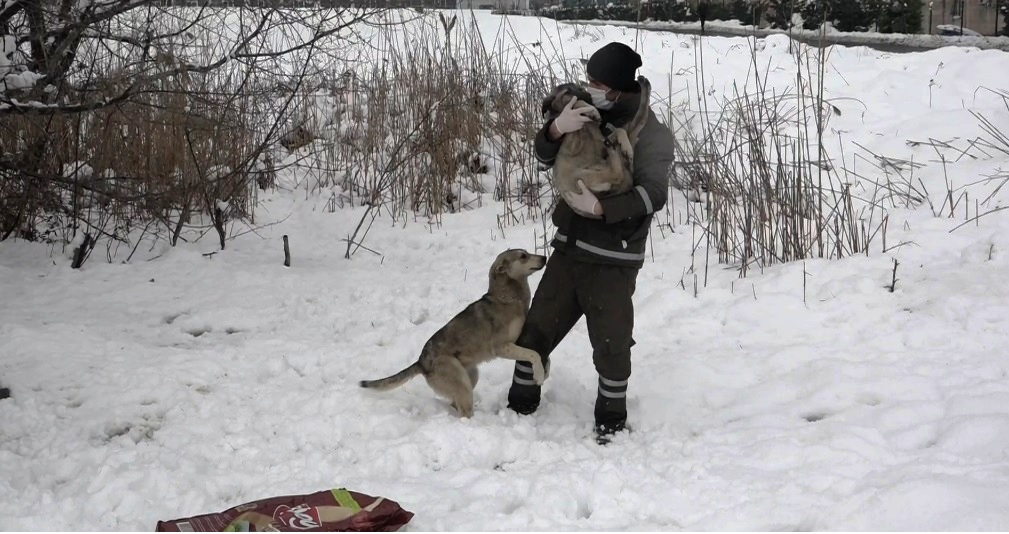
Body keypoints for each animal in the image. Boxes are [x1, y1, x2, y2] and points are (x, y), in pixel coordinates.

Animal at [361, 247, 548, 417]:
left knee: (455, 403)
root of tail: (421, 362)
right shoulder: (502, 347)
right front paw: (539, 375)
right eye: (523, 256)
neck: (509, 298)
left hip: (471, 376)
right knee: (464, 412)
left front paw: (545, 372)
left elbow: (541, 356)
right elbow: (533, 354)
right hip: (462, 382)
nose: (545, 257)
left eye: (527, 252)